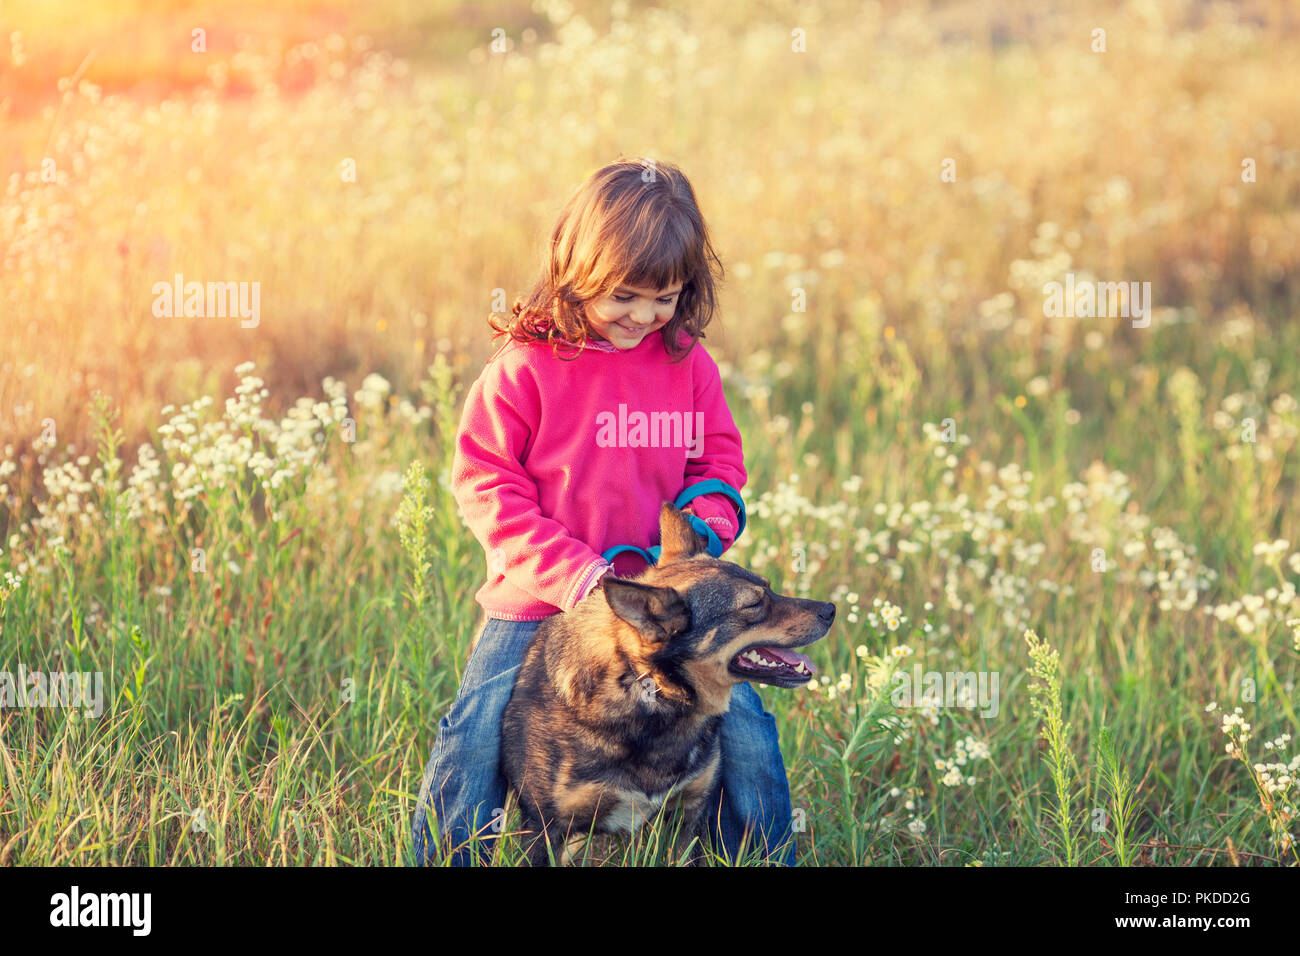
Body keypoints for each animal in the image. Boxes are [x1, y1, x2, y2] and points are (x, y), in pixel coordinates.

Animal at [496, 504, 832, 863]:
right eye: (754, 604)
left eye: (769, 588)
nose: (831, 610)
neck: (647, 693)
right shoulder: (546, 829)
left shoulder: (688, 814)